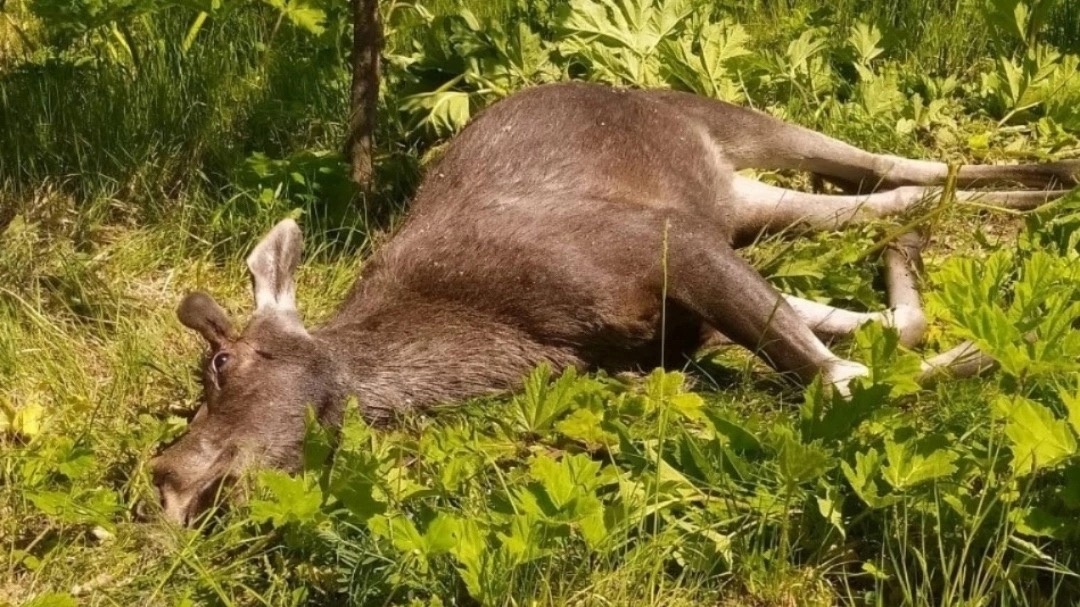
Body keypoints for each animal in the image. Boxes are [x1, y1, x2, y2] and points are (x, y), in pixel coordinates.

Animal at [147, 81, 1075, 524]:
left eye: (221, 362)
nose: (167, 477)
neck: (505, 331)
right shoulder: (680, 326)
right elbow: (864, 334)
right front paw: (934, 313)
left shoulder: (661, 239)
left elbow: (834, 373)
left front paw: (979, 354)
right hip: (745, 199)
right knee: (896, 194)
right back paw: (1030, 192)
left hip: (730, 126)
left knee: (888, 161)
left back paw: (1054, 172)